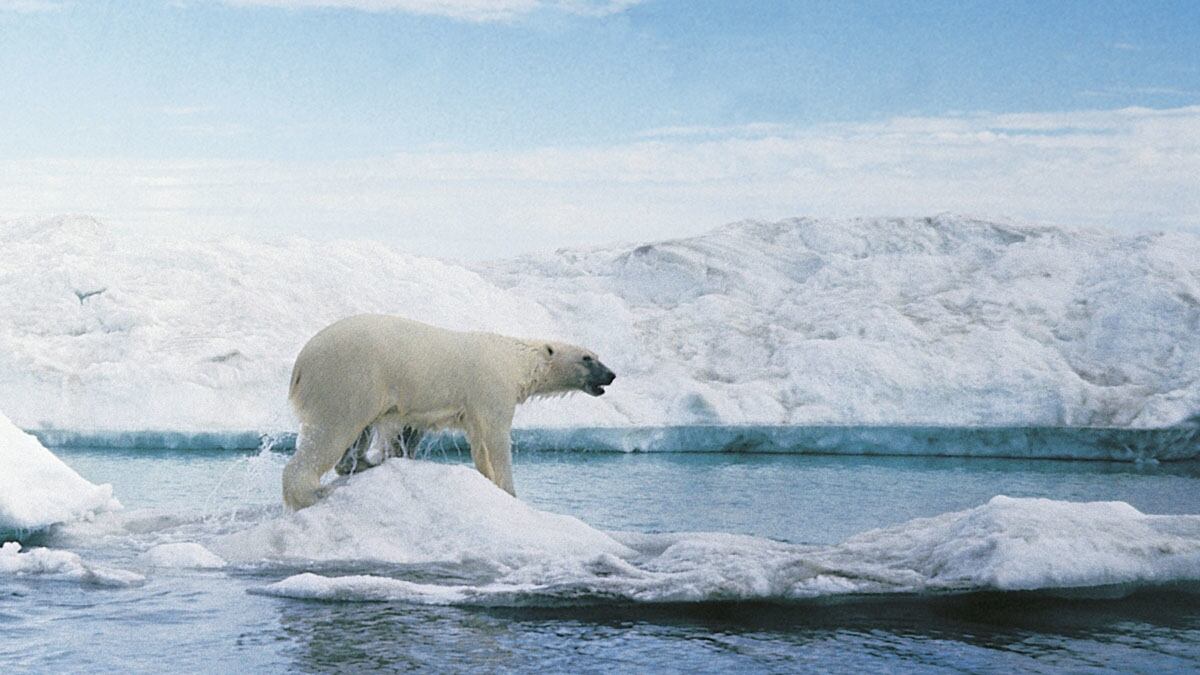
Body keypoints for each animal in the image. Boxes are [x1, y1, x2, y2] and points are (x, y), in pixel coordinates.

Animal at [281, 314, 617, 510]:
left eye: (596, 355)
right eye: (587, 358)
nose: (611, 375)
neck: (514, 360)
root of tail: (301, 362)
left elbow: (413, 431)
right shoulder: (491, 389)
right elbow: (495, 440)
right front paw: (508, 491)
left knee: (356, 435)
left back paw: (363, 463)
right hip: (350, 378)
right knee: (332, 432)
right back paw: (312, 493)